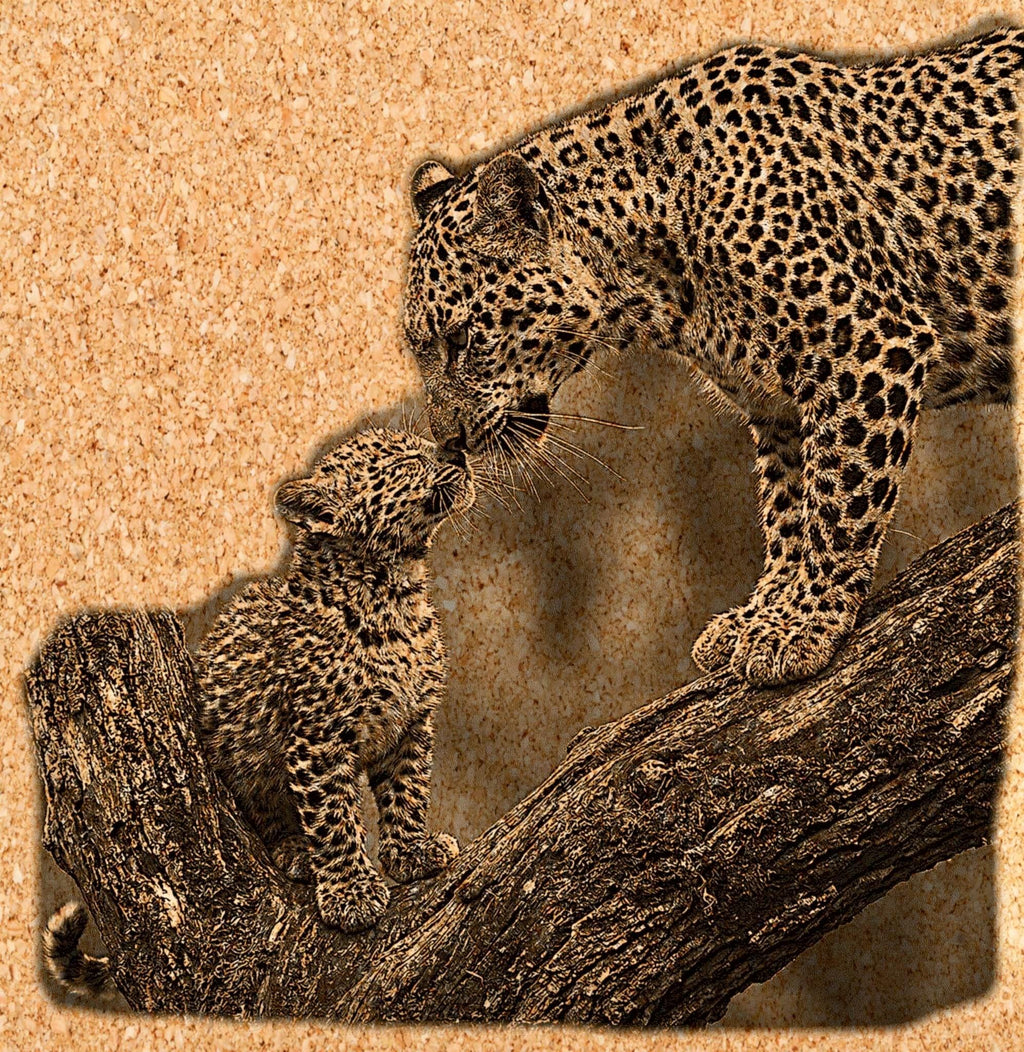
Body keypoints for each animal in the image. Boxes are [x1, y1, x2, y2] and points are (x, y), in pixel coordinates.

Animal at [45, 429, 474, 992]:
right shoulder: (319, 736)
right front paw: (351, 893)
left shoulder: (410, 724)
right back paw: (297, 854)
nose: (458, 452)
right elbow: (334, 818)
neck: (394, 591)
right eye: (405, 459)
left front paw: (412, 853)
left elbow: (408, 794)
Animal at [402, 26, 1021, 689]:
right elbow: (788, 508)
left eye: (462, 340)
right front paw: (763, 611)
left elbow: (838, 497)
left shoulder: (867, 345)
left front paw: (802, 623)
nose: (450, 441)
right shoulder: (776, 405)